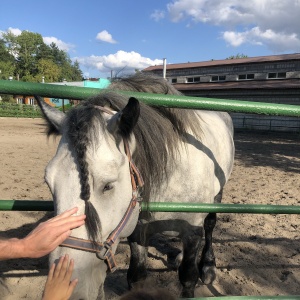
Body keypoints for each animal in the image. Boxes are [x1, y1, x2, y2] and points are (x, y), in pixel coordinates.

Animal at [35, 74, 234, 298]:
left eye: (108, 185)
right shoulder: (138, 230)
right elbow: (136, 276)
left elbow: (188, 277)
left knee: (210, 225)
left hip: (217, 195)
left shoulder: (192, 230)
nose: (68, 288)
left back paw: (208, 266)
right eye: (49, 182)